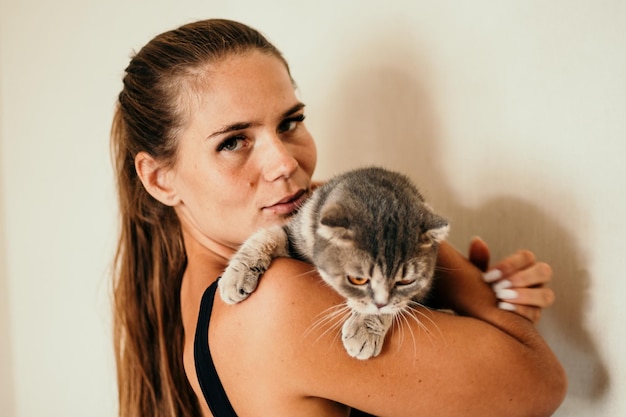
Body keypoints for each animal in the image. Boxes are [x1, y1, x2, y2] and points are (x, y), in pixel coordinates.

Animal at [217, 166, 446, 358]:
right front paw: (236, 276)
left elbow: (397, 304)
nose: (381, 304)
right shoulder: (295, 234)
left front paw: (365, 329)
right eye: (358, 279)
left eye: (405, 282)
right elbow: (266, 236)